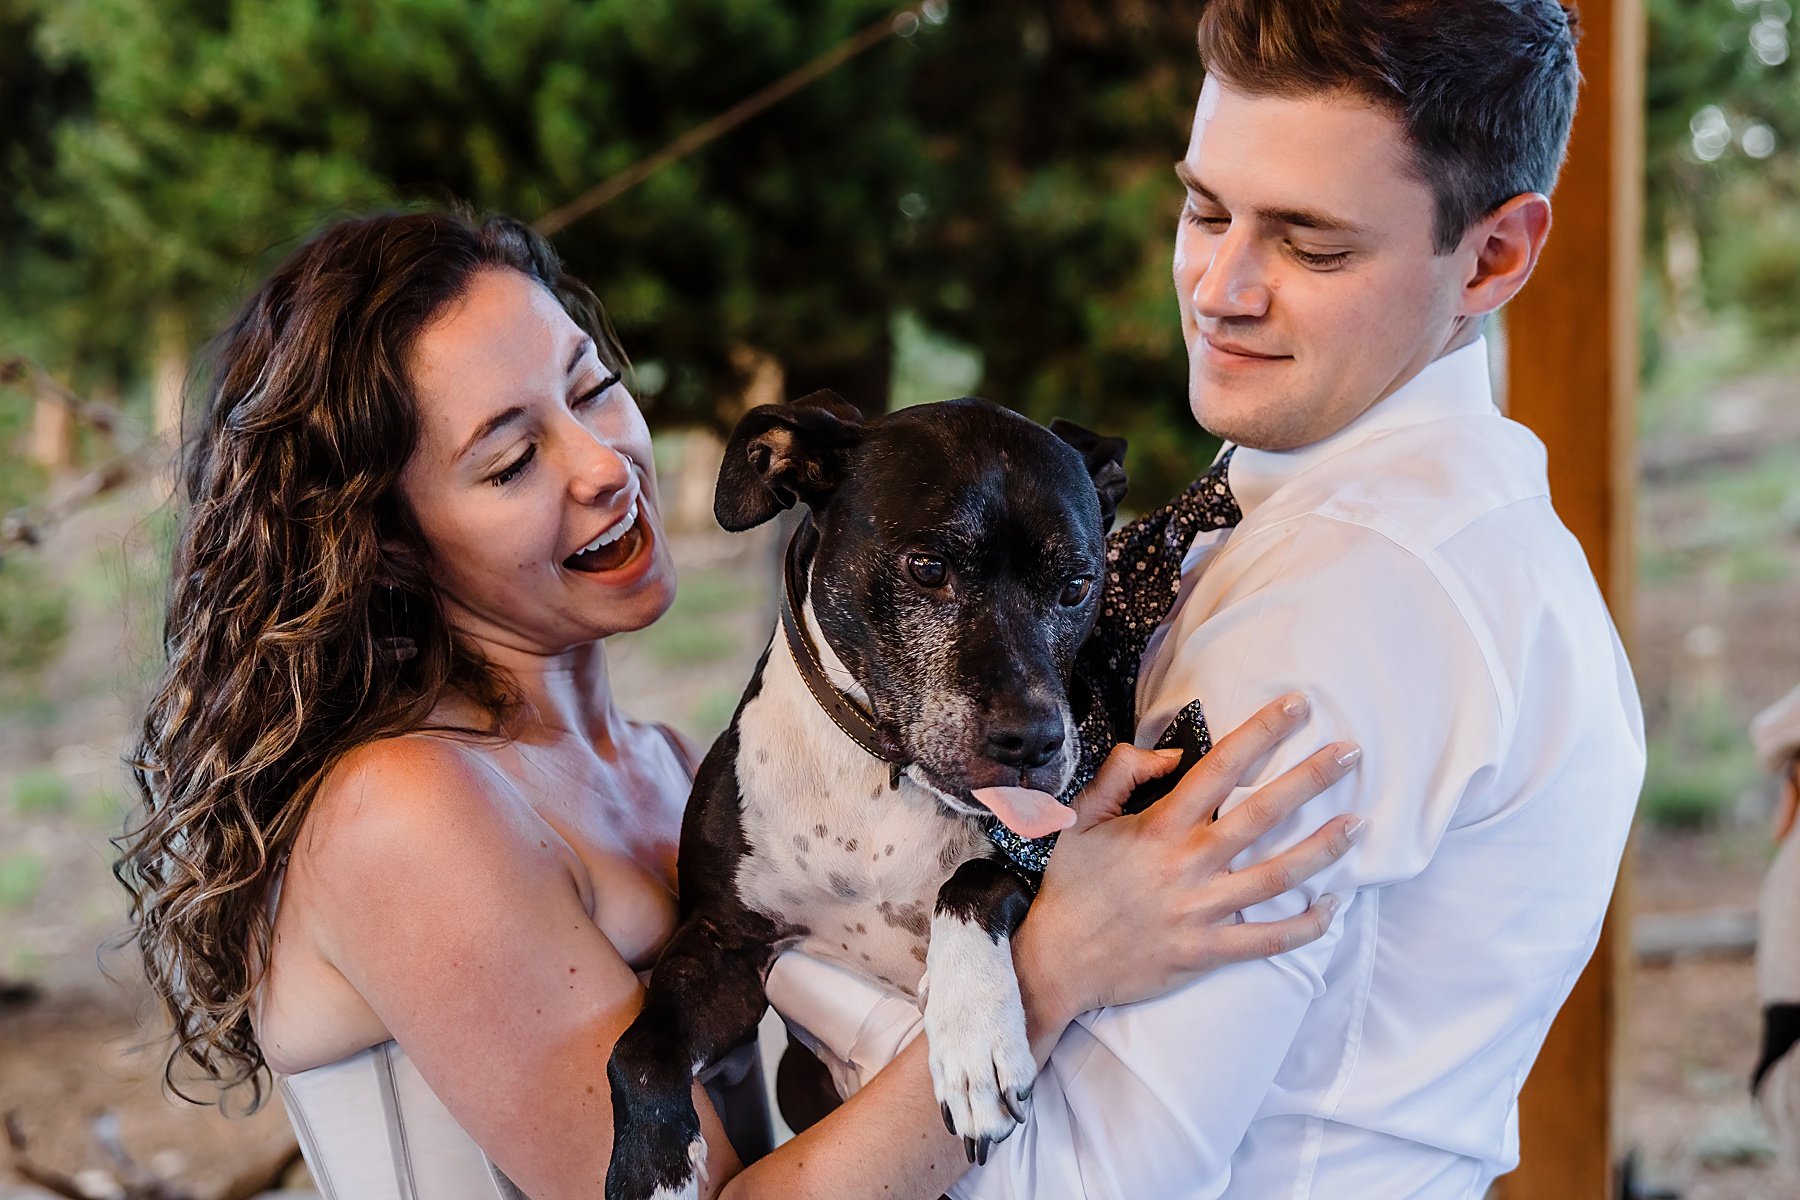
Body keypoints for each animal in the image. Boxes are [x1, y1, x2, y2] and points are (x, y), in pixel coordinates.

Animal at [612, 394, 1130, 1200]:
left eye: (1077, 586)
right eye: (928, 568)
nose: (1036, 740)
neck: (881, 783)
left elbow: (972, 878)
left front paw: (974, 1038)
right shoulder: (725, 943)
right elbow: (639, 1050)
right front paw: (651, 1169)